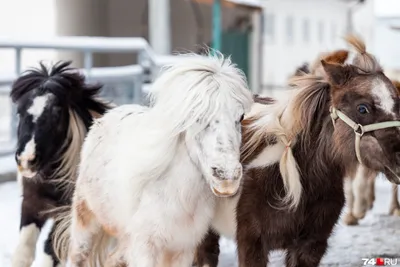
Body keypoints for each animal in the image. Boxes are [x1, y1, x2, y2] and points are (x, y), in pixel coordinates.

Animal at [10, 61, 110, 267]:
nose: (27, 160)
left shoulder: (68, 216)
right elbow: (23, 254)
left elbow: (49, 253)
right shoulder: (31, 204)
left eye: (56, 114)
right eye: (20, 111)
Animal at [53, 52, 253, 267]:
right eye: (197, 117)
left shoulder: (182, 249)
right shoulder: (145, 247)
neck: (177, 196)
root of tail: (104, 118)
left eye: (241, 116)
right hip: (85, 223)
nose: (227, 177)